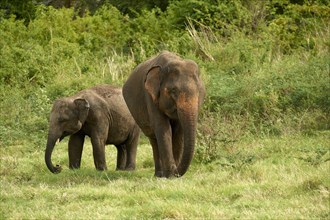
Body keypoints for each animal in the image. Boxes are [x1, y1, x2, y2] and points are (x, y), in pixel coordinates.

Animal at [123, 50, 205, 178]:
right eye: (174, 91)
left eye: (200, 91)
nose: (176, 171)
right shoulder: (150, 96)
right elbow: (163, 128)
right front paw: (171, 175)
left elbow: (178, 132)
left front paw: (173, 175)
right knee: (153, 138)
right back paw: (159, 174)